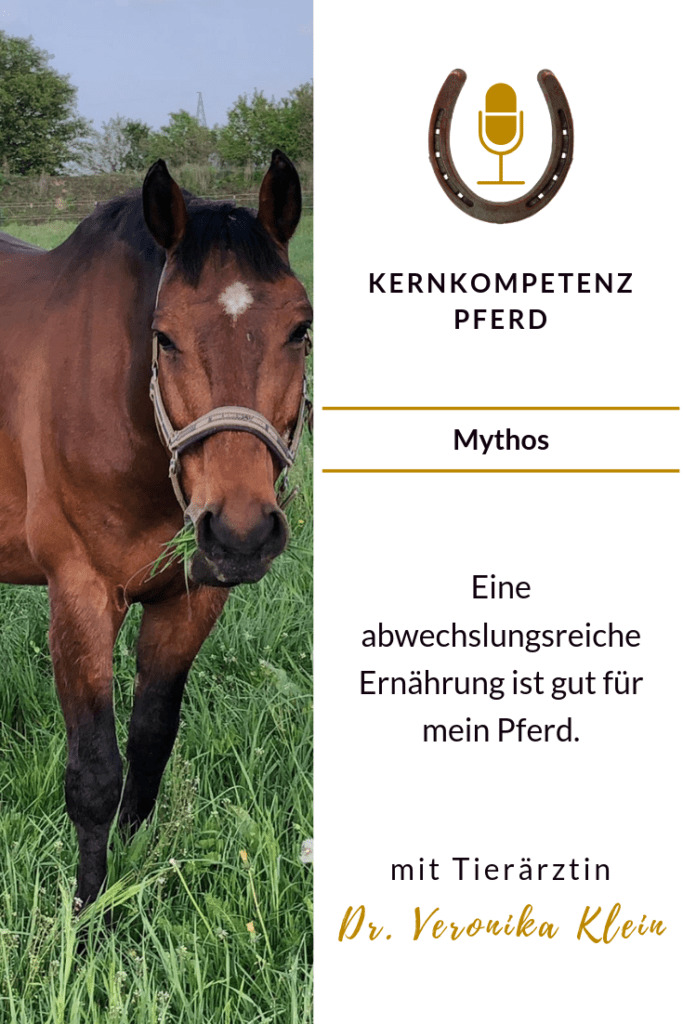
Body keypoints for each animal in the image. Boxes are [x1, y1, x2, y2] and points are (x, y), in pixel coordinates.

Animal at [0, 151, 312, 909]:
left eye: (301, 328)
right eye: (163, 336)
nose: (240, 533)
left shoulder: (189, 599)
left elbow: (149, 744)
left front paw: (134, 873)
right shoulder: (79, 597)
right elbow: (93, 777)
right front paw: (88, 919)